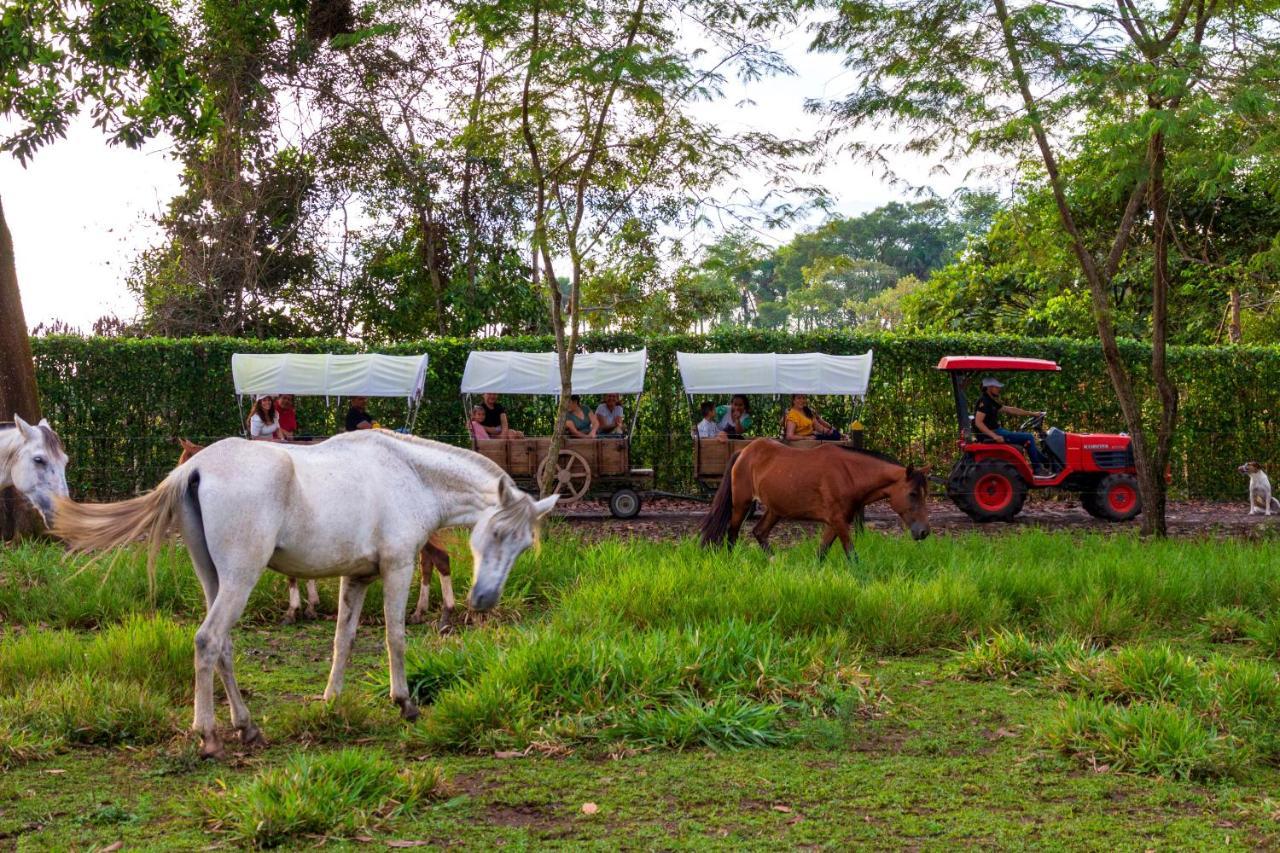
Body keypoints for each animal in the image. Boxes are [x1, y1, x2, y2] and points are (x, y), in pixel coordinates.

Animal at [177, 438, 458, 625]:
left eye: (183, 459)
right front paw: (309, 606)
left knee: (440, 559)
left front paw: (296, 610)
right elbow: (301, 573)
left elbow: (293, 576)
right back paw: (421, 611)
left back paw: (444, 612)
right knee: (430, 562)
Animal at [701, 438, 931, 558]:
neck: (849, 474)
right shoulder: (838, 521)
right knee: (732, 534)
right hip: (742, 504)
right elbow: (852, 555)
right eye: (912, 494)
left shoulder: (836, 522)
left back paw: (775, 562)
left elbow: (821, 553)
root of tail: (744, 451)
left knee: (759, 532)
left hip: (775, 509)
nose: (924, 532)